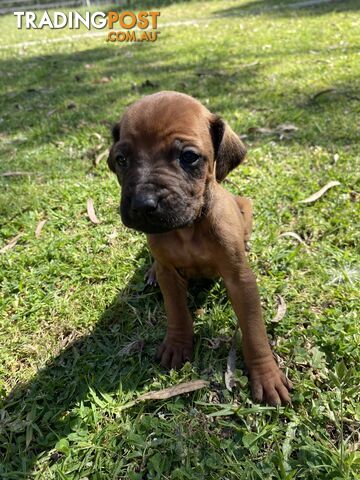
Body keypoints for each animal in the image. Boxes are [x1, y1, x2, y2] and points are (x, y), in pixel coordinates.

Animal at [107, 91, 292, 404]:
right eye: (121, 159)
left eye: (189, 157)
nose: (143, 205)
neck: (188, 229)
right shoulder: (170, 275)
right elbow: (177, 311)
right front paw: (177, 344)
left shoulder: (239, 280)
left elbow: (254, 331)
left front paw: (266, 375)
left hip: (246, 205)